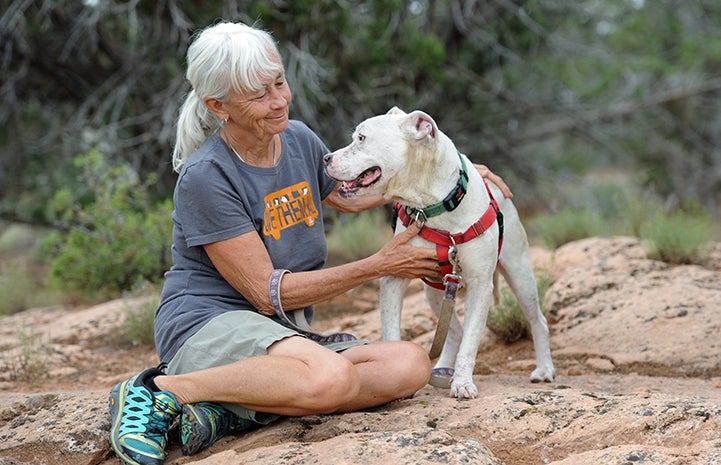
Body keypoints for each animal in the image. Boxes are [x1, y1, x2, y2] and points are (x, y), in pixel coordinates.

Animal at [324, 107, 556, 396]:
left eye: (362, 138)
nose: (325, 158)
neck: (433, 205)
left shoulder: (480, 286)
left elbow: (471, 341)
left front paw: (463, 383)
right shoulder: (393, 278)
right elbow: (393, 332)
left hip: (519, 274)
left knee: (537, 321)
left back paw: (544, 369)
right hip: (436, 291)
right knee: (454, 331)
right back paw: (442, 369)